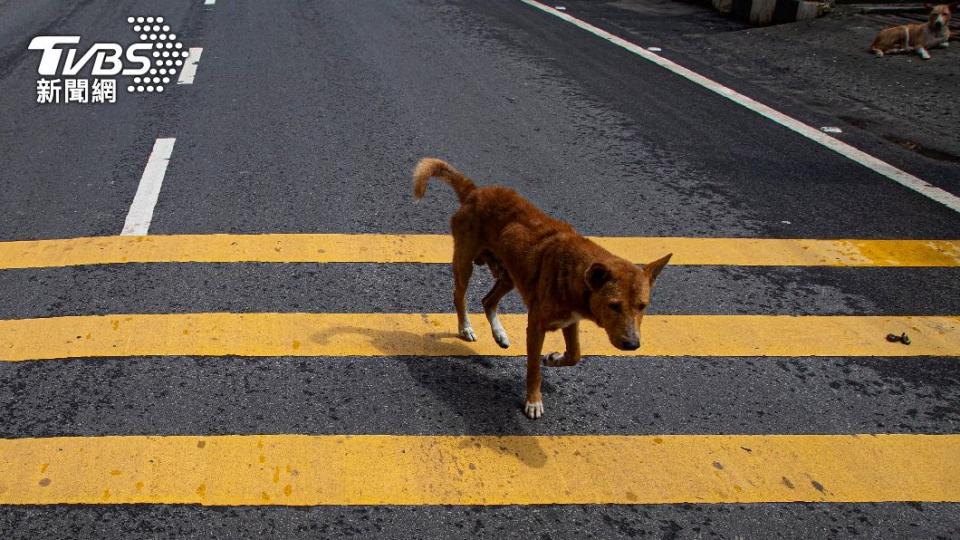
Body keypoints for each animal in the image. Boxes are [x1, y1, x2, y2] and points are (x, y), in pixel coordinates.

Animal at [414, 158, 676, 420]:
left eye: (642, 306)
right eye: (614, 305)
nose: (633, 345)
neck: (575, 272)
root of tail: (475, 191)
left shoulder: (570, 321)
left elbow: (575, 355)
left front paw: (554, 358)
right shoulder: (536, 327)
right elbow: (533, 369)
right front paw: (533, 400)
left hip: (508, 275)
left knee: (488, 301)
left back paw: (499, 333)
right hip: (465, 263)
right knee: (459, 296)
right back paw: (465, 327)